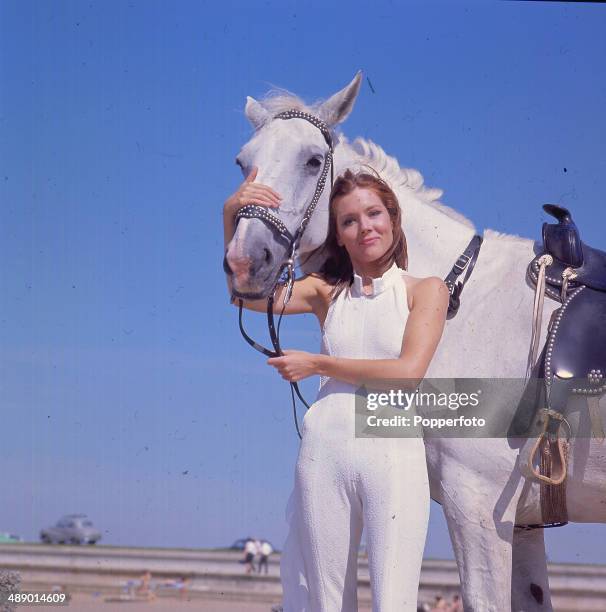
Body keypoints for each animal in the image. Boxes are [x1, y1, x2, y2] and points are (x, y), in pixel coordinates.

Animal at [224, 73, 606, 612]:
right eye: (243, 162)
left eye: (313, 160)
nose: (244, 262)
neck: (459, 300)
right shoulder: (524, 523)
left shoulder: (478, 505)